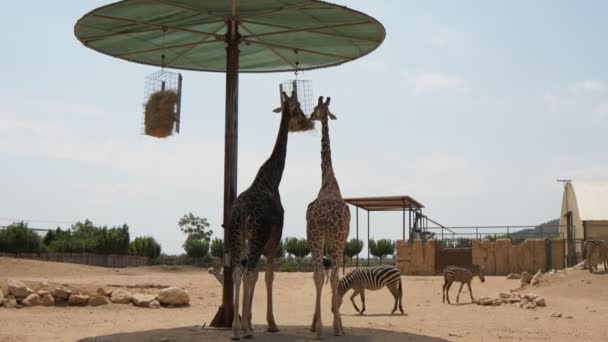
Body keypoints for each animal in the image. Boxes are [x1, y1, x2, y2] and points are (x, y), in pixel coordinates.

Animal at [229, 91, 312, 340]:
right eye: (298, 108)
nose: (306, 120)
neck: (273, 179)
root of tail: (242, 213)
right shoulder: (275, 236)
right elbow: (267, 276)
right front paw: (270, 323)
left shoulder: (251, 238)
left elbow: (256, 275)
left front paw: (248, 321)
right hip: (258, 235)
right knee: (247, 271)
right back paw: (244, 331)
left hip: (236, 235)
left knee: (237, 271)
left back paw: (235, 329)